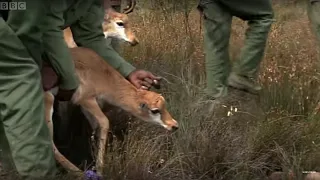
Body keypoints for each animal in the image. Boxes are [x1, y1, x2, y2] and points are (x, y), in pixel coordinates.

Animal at [40, 3, 178, 178]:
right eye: (155, 110)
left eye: (164, 105)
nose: (174, 125)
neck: (102, 73)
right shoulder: (85, 100)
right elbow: (105, 122)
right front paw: (99, 168)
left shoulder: (88, 107)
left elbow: (96, 128)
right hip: (48, 101)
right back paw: (77, 171)